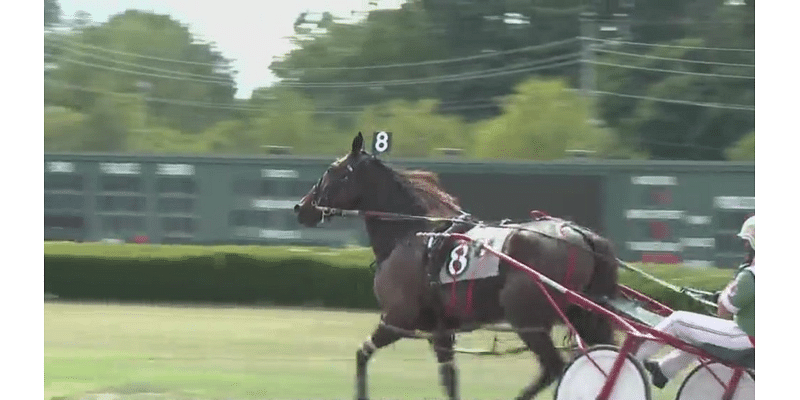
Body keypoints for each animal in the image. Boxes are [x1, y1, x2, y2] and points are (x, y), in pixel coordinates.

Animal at [294, 133, 620, 398]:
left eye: (331, 170)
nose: (301, 207)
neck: (409, 235)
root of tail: (581, 235)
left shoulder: (398, 319)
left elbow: (362, 354)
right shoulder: (441, 331)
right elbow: (449, 379)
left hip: (527, 318)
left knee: (554, 368)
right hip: (583, 315)